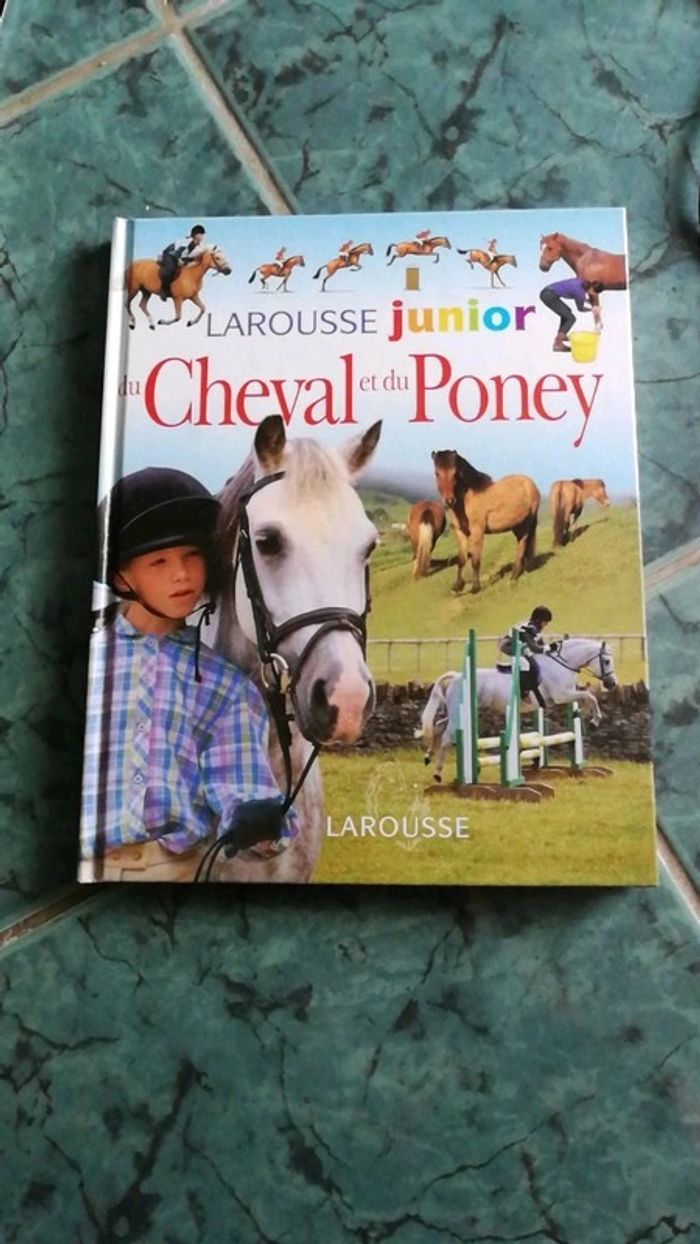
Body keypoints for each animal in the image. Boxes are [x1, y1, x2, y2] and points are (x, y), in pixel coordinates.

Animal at [418, 638, 618, 781]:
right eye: (607, 661)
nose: (612, 684)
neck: (561, 664)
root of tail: (456, 676)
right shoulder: (561, 695)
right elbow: (589, 696)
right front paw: (594, 721)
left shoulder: (565, 695)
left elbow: (587, 697)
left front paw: (584, 715)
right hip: (459, 713)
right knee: (446, 736)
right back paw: (437, 773)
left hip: (457, 712)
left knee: (438, 725)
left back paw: (428, 756)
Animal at [432, 450, 539, 594]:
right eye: (437, 473)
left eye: (455, 473)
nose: (449, 501)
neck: (467, 498)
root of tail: (530, 484)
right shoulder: (460, 532)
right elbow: (461, 560)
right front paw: (458, 586)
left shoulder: (477, 531)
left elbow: (475, 560)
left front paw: (475, 588)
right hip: (517, 526)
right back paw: (519, 571)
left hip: (526, 524)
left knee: (523, 544)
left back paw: (514, 575)